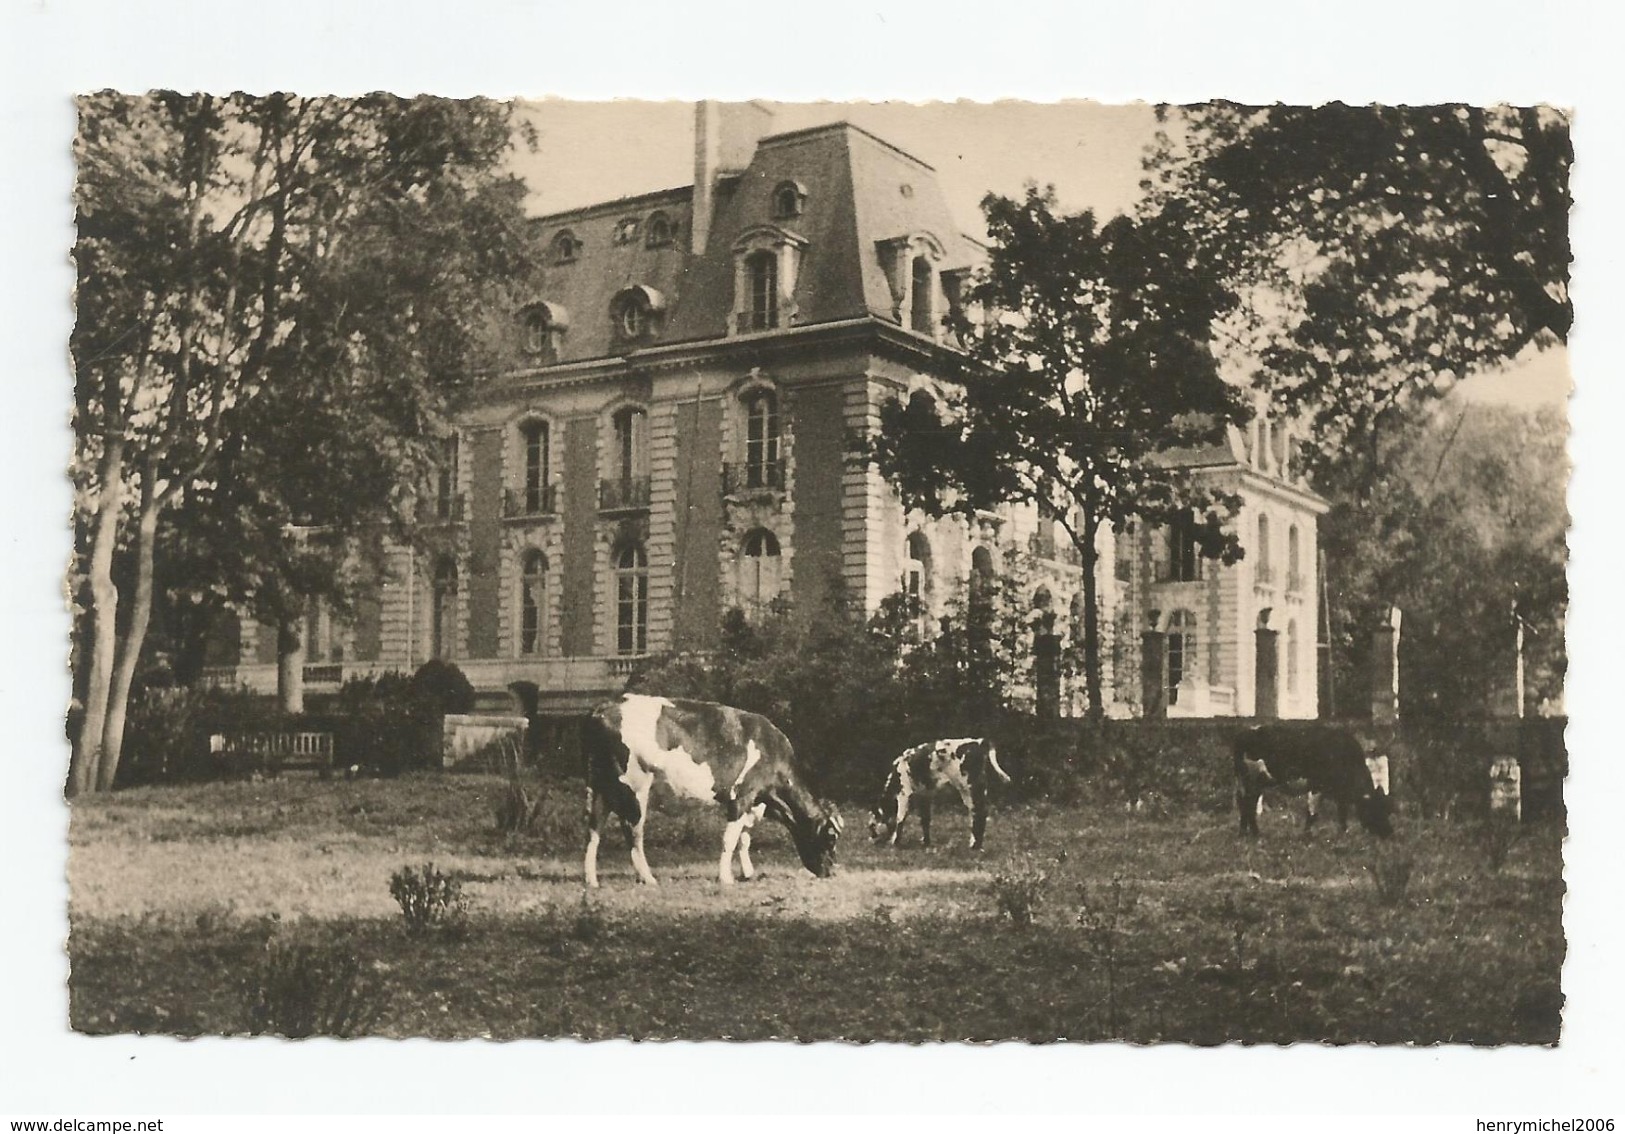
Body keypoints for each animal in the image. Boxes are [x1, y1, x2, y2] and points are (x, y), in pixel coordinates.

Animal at [585, 688, 845, 883]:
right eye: (831, 838)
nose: (830, 872)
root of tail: (604, 707)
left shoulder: (753, 803)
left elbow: (744, 839)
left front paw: (747, 873)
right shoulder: (742, 796)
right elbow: (730, 839)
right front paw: (726, 878)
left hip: (599, 786)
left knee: (594, 829)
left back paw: (592, 880)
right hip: (634, 786)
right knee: (633, 831)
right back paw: (648, 878)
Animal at [871, 734, 1007, 844]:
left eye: (871, 825)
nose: (871, 838)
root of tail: (978, 742)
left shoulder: (904, 793)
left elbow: (900, 818)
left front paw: (894, 842)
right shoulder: (925, 795)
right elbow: (925, 819)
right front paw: (925, 842)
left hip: (969, 788)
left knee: (978, 813)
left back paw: (974, 846)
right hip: (978, 788)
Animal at [1235, 721, 1391, 831]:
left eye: (1387, 809)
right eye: (1377, 808)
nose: (1389, 833)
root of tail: (1247, 731)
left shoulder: (1339, 794)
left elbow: (1341, 813)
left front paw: (1343, 832)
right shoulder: (1317, 786)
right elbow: (1312, 813)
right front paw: (1307, 836)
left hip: (1250, 782)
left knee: (1245, 804)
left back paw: (1245, 833)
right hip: (1252, 779)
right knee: (1248, 805)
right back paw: (1254, 834)